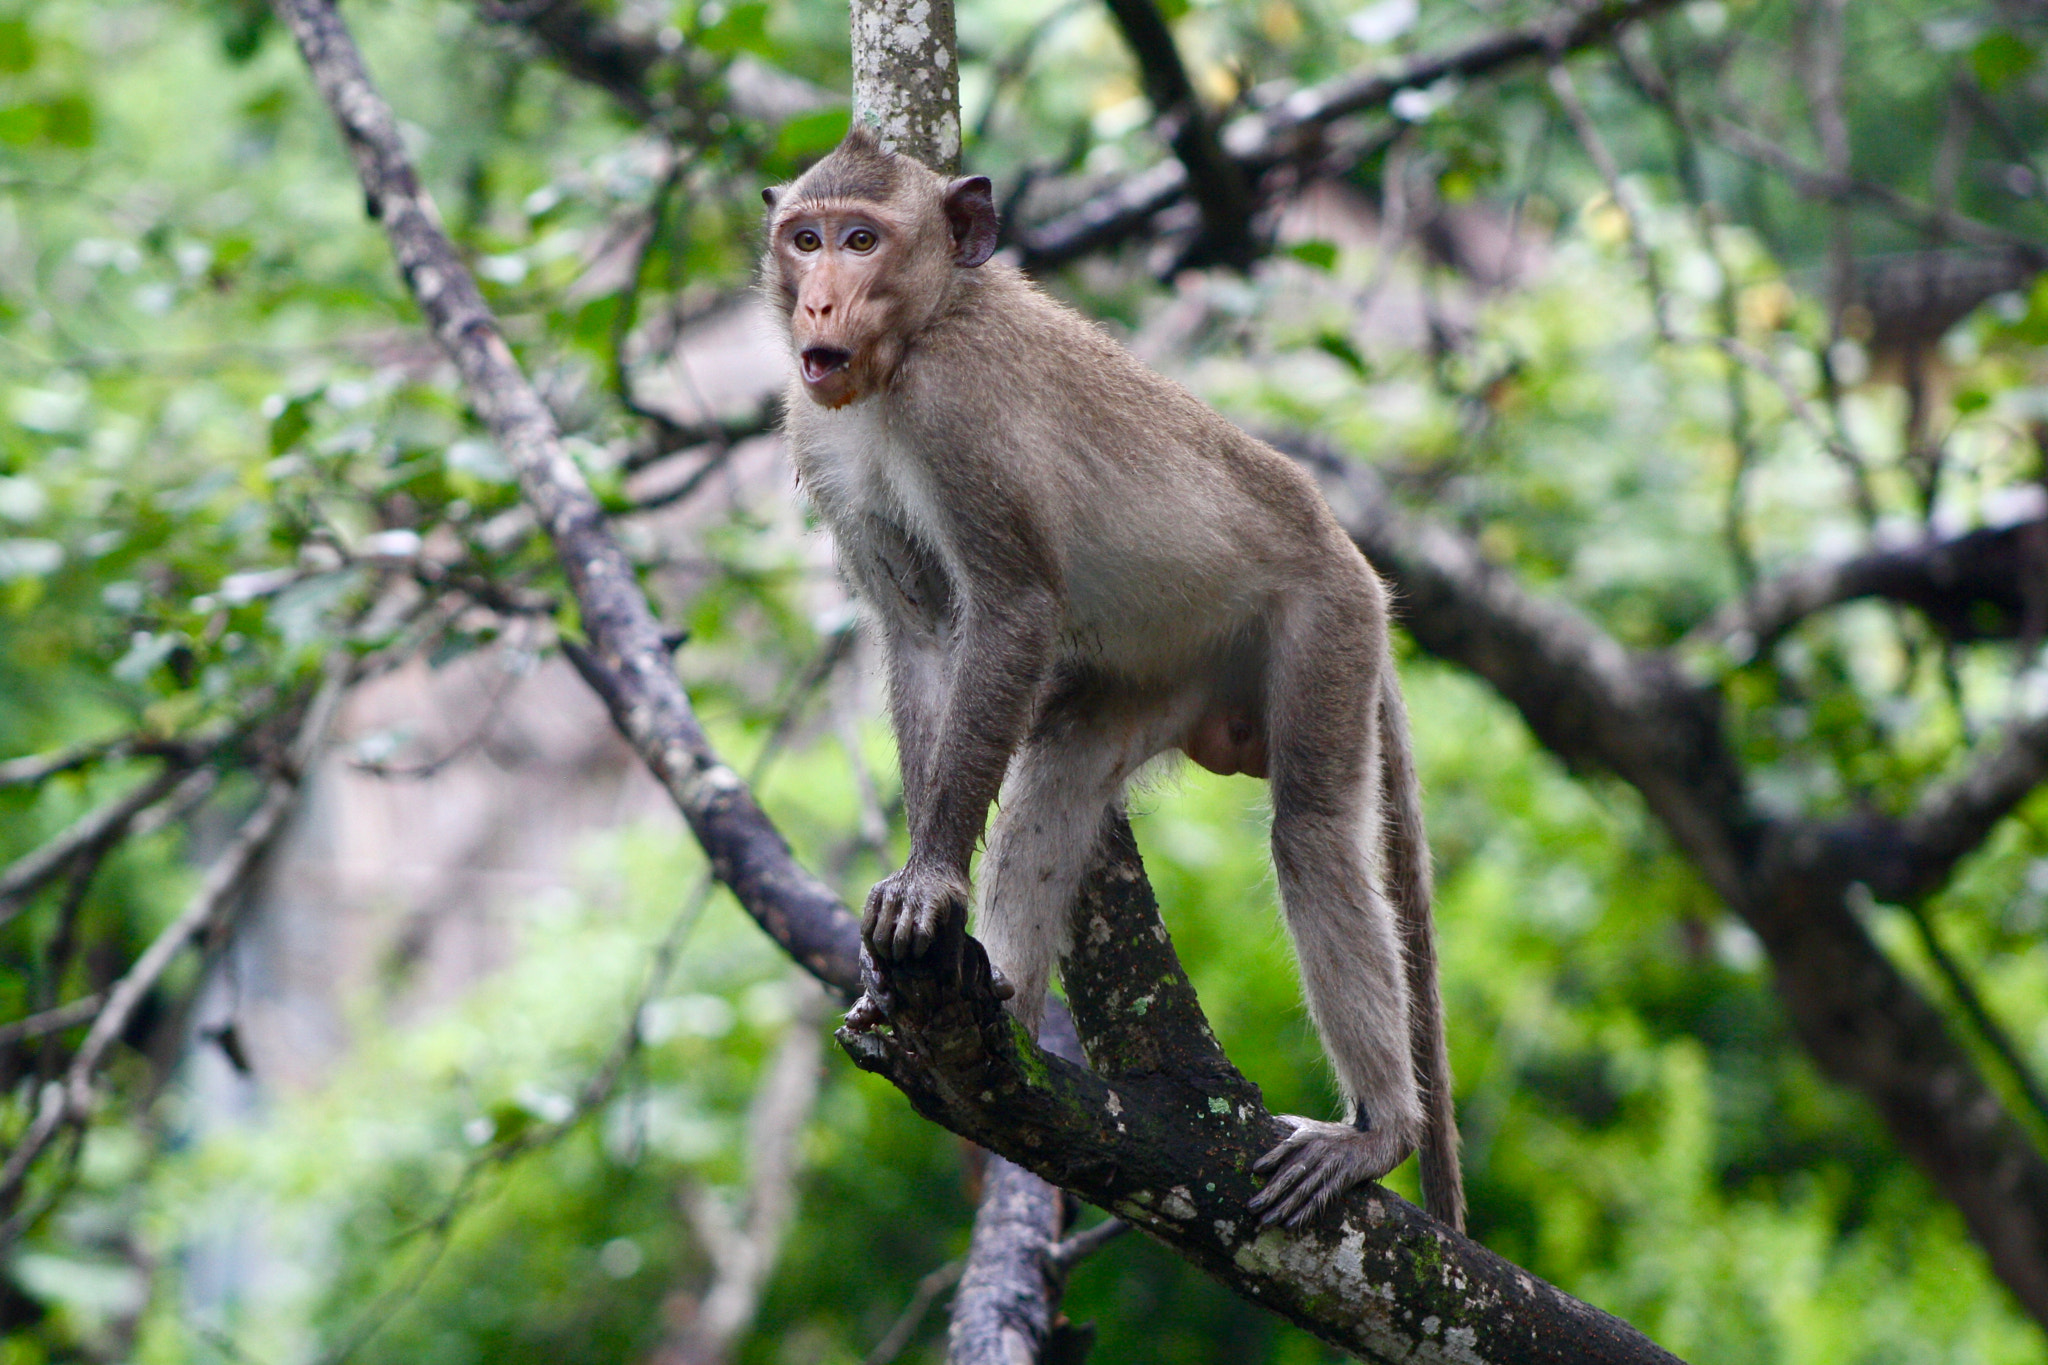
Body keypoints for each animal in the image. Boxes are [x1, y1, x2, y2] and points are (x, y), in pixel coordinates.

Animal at [762, 128, 1463, 1233]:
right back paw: (1008, 1002)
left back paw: (1380, 1131)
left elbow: (1011, 610)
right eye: (805, 239)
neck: (916, 340)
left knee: (1310, 831)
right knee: (1059, 773)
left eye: (861, 241)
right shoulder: (819, 431)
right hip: (1172, 667)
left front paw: (928, 880)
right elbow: (920, 638)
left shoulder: (955, 411)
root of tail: (1348, 550)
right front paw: (917, 908)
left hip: (1324, 622)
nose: (817, 306)